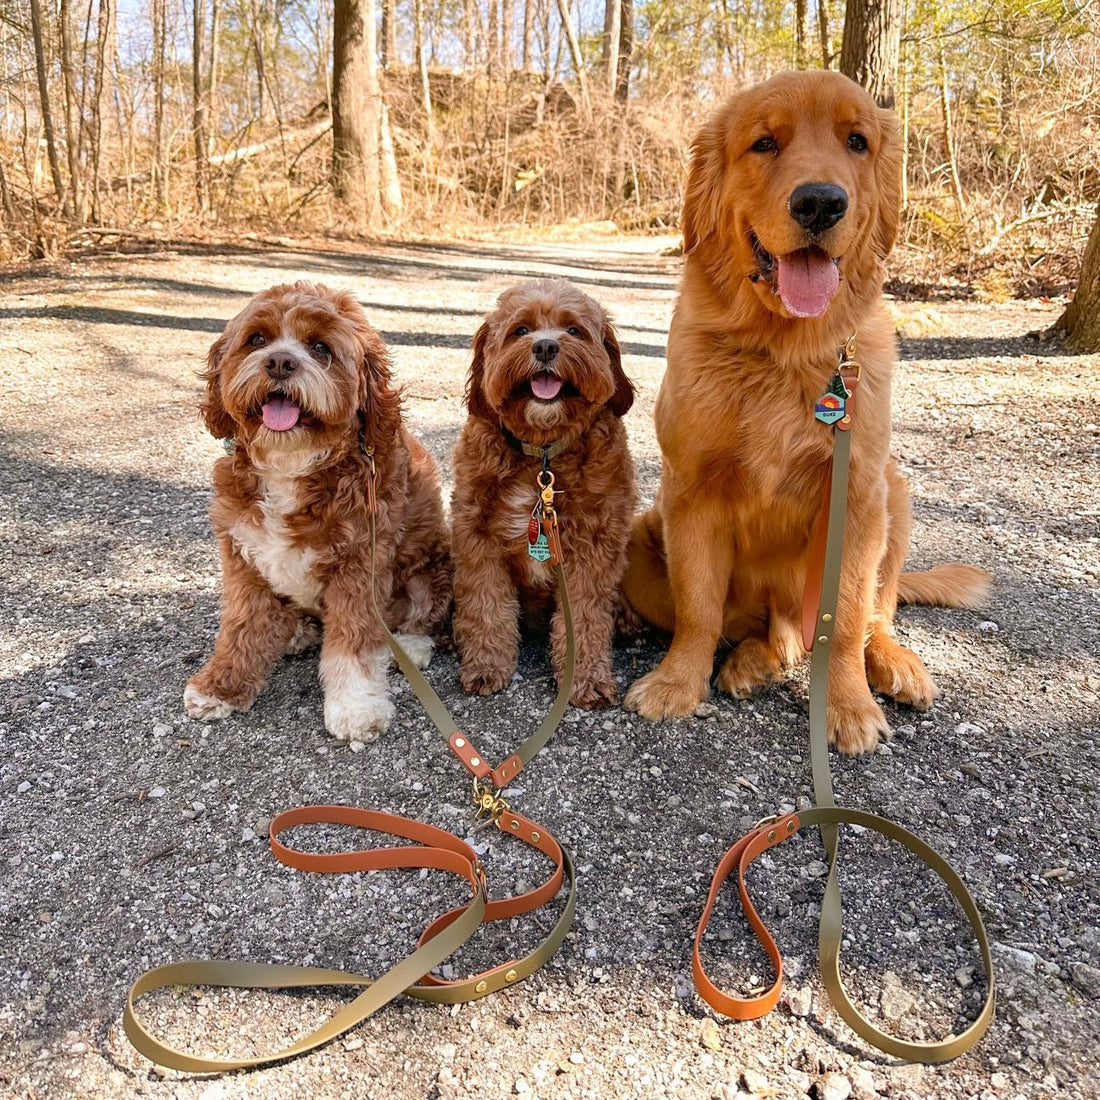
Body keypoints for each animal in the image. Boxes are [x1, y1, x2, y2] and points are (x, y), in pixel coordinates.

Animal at [184, 283, 451, 743]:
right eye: (257, 339)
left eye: (321, 347)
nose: (279, 362)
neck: (291, 466)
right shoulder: (243, 557)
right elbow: (240, 628)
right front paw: (221, 686)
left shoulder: (360, 566)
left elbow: (353, 646)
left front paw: (356, 707)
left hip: (428, 572)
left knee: (424, 614)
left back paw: (408, 647)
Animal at [453, 275, 642, 704]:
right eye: (520, 330)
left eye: (573, 330)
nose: (545, 346)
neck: (543, 459)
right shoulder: (478, 540)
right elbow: (488, 607)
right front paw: (487, 665)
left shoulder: (594, 548)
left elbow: (586, 619)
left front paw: (586, 677)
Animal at [624, 73, 994, 752]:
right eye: (764, 143)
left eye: (857, 141)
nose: (820, 203)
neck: (783, 351)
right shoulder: (690, 492)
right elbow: (698, 608)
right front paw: (677, 683)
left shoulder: (854, 497)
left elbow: (844, 619)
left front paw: (846, 704)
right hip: (643, 545)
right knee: (760, 632)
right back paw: (751, 662)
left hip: (894, 496)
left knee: (873, 616)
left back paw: (894, 664)